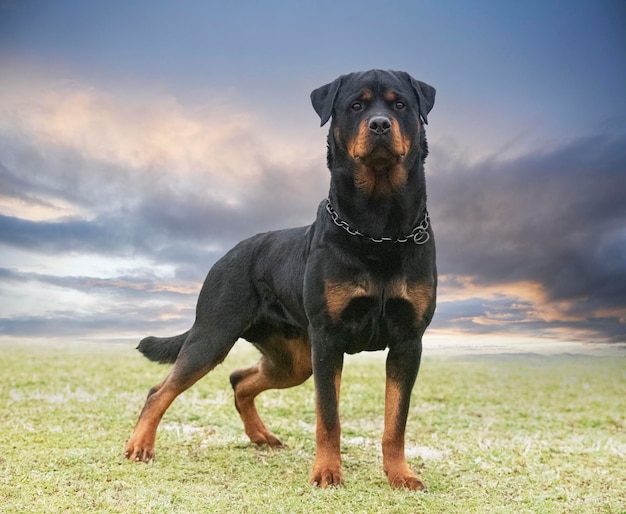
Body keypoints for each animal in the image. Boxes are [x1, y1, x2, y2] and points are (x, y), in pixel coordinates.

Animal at [122, 69, 434, 488]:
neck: (378, 229)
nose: (380, 124)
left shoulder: (407, 341)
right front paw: (327, 472)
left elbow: (395, 420)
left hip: (292, 360)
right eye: (356, 105)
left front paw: (400, 475)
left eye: (400, 104)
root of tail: (226, 256)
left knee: (240, 379)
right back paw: (140, 445)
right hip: (213, 336)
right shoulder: (328, 339)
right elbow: (329, 417)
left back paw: (261, 436)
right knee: (161, 390)